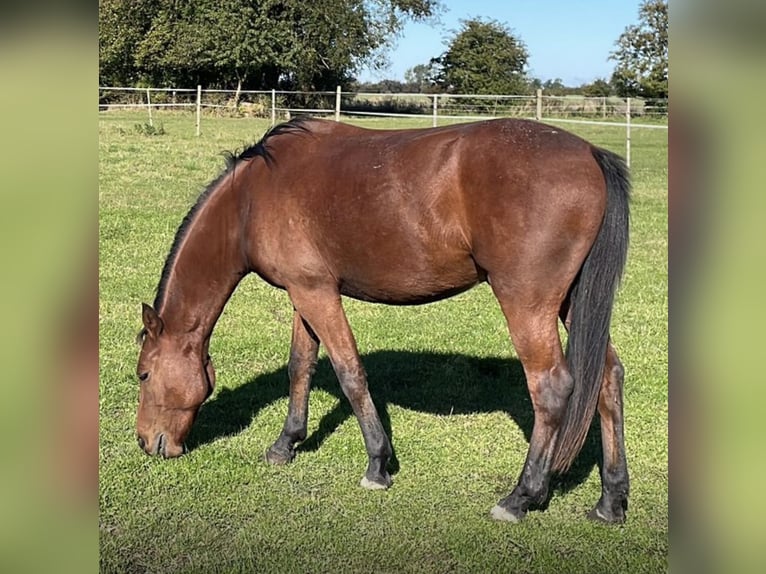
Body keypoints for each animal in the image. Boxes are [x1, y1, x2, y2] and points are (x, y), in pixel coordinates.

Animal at [136, 118, 632, 528]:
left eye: (142, 374)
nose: (146, 442)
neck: (251, 198)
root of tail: (590, 153)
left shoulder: (318, 295)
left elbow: (350, 373)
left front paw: (377, 464)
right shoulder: (304, 293)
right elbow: (301, 367)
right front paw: (286, 444)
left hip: (527, 303)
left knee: (550, 388)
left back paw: (520, 497)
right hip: (570, 303)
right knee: (607, 378)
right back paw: (610, 501)